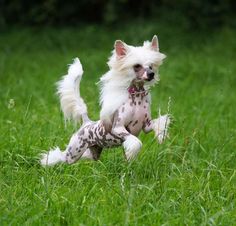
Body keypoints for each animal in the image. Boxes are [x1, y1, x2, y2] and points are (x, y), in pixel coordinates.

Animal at [40, 35, 170, 166]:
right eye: (137, 66)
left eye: (151, 66)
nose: (151, 74)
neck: (137, 99)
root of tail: (86, 123)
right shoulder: (118, 128)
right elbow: (136, 142)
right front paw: (131, 154)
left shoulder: (146, 126)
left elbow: (158, 123)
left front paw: (161, 136)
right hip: (73, 154)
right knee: (61, 156)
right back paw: (46, 161)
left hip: (93, 152)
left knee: (88, 156)